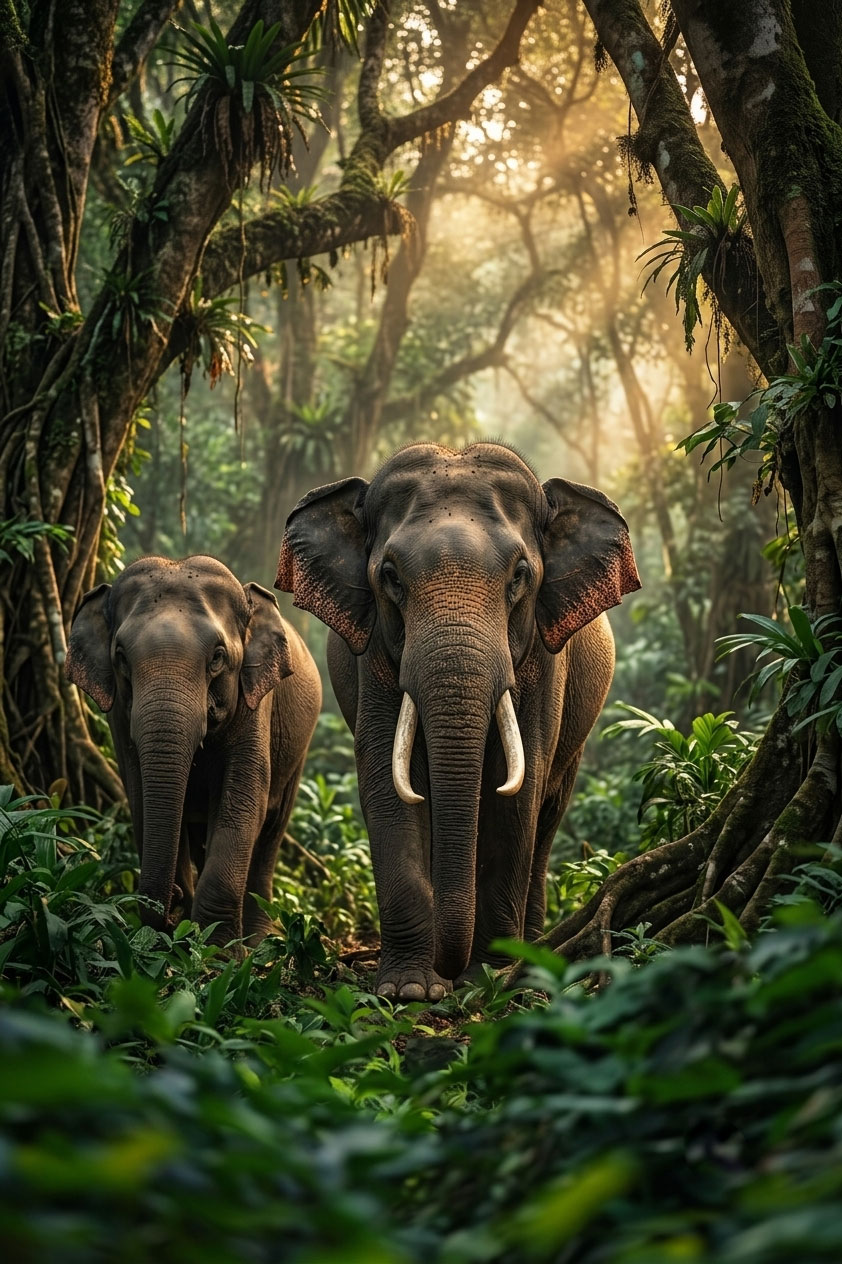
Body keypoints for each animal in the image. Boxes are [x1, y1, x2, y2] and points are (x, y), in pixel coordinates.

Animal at [66, 555, 321, 947]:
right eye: (121, 657)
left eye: (217, 657)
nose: (172, 904)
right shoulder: (119, 719)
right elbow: (140, 798)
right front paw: (179, 941)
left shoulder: (255, 704)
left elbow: (242, 802)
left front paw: (217, 950)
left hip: (299, 752)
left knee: (271, 831)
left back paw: (259, 942)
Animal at [277, 441, 640, 1001]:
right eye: (390, 576)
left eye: (519, 575)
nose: (451, 971)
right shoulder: (374, 652)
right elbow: (386, 780)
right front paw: (409, 991)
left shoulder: (543, 659)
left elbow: (516, 789)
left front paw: (487, 984)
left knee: (547, 816)